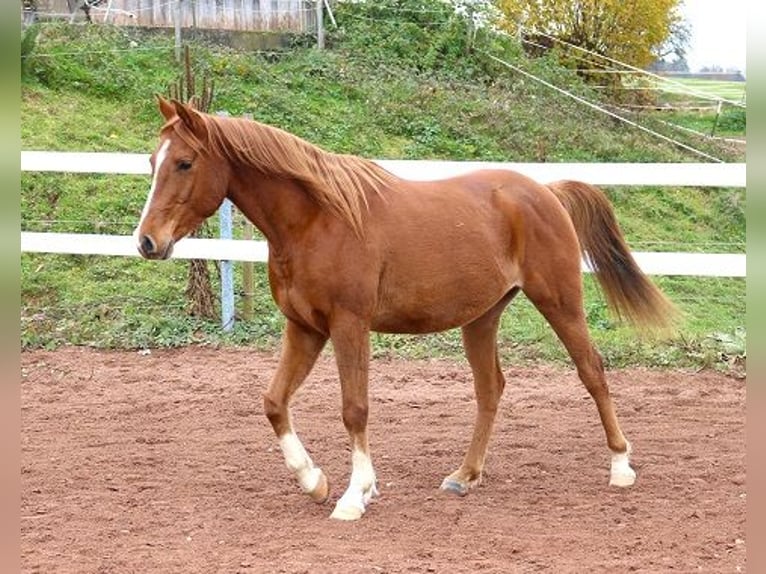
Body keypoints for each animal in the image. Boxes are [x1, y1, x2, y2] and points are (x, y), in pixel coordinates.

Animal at [135, 98, 676, 520]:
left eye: (184, 162)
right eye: (152, 161)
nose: (146, 241)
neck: (316, 220)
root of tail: (547, 192)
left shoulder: (349, 325)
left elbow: (354, 409)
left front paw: (354, 495)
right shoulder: (304, 328)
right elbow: (273, 401)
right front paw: (314, 481)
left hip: (560, 302)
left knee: (592, 372)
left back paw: (620, 467)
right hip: (482, 317)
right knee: (491, 389)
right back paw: (465, 475)